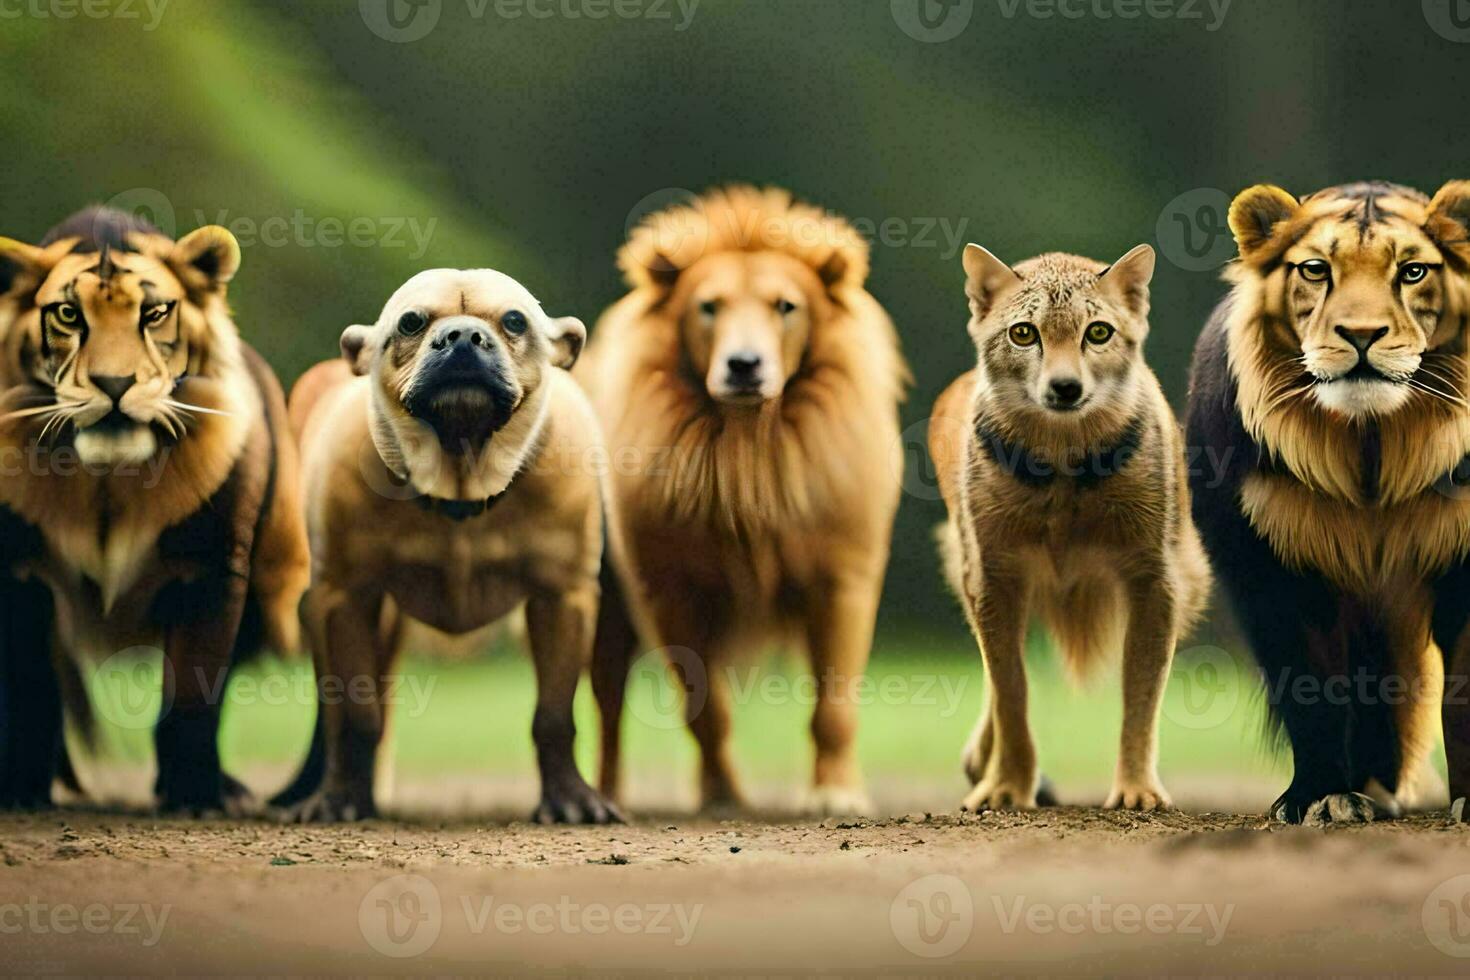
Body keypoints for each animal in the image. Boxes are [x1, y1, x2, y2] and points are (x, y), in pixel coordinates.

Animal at [0, 207, 307, 811]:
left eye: (155, 312)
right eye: (68, 314)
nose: (114, 383)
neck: (106, 486)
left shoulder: (211, 570)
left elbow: (194, 694)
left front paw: (196, 795)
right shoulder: (21, 575)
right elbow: (30, 695)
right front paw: (22, 790)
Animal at [282, 265, 620, 822]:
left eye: (514, 320)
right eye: (411, 322)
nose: (462, 336)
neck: (460, 477)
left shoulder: (563, 599)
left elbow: (554, 716)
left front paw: (569, 799)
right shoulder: (344, 599)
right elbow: (355, 715)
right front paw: (341, 798)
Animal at [582, 188, 905, 816]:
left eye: (786, 306)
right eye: (709, 306)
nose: (744, 365)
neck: (747, 448)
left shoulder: (843, 579)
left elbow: (833, 708)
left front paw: (835, 795)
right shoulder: (668, 589)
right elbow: (705, 710)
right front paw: (722, 797)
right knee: (606, 710)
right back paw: (604, 798)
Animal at [929, 243, 1205, 811]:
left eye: (1097, 332)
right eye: (1023, 333)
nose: (1065, 387)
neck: (1061, 473)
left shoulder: (1155, 580)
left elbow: (1141, 696)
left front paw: (1137, 789)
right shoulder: (993, 577)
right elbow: (1011, 691)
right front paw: (1007, 786)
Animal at [1187, 179, 1470, 822]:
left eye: (1412, 271)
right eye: (1316, 270)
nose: (1361, 336)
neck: (1370, 453)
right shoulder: (1274, 570)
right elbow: (1310, 689)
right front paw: (1321, 796)